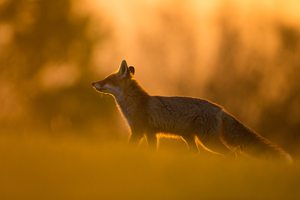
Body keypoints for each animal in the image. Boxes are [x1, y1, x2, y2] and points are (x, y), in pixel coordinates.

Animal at [92, 59, 292, 162]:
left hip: (208, 140)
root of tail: (220, 109)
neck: (134, 104)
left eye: (107, 79)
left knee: (232, 153)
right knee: (199, 154)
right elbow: (152, 152)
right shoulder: (151, 133)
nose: (93, 83)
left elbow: (131, 147)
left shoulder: (139, 131)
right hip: (190, 139)